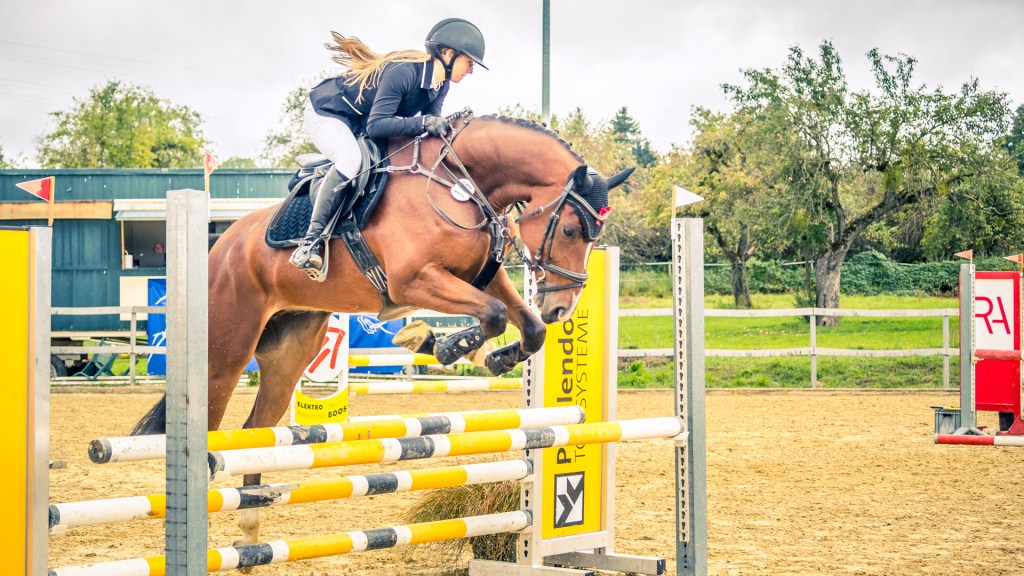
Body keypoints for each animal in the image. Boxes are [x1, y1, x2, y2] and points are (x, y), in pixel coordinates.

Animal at [131, 113, 633, 547]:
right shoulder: (414, 280)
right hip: (227, 349)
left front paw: (490, 355)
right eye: (569, 230)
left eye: (593, 237)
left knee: (256, 431)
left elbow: (527, 328)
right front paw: (443, 345)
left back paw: (252, 534)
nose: (562, 308)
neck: (462, 182)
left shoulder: (482, 276)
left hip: (290, 350)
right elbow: (491, 315)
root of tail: (221, 243)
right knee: (214, 427)